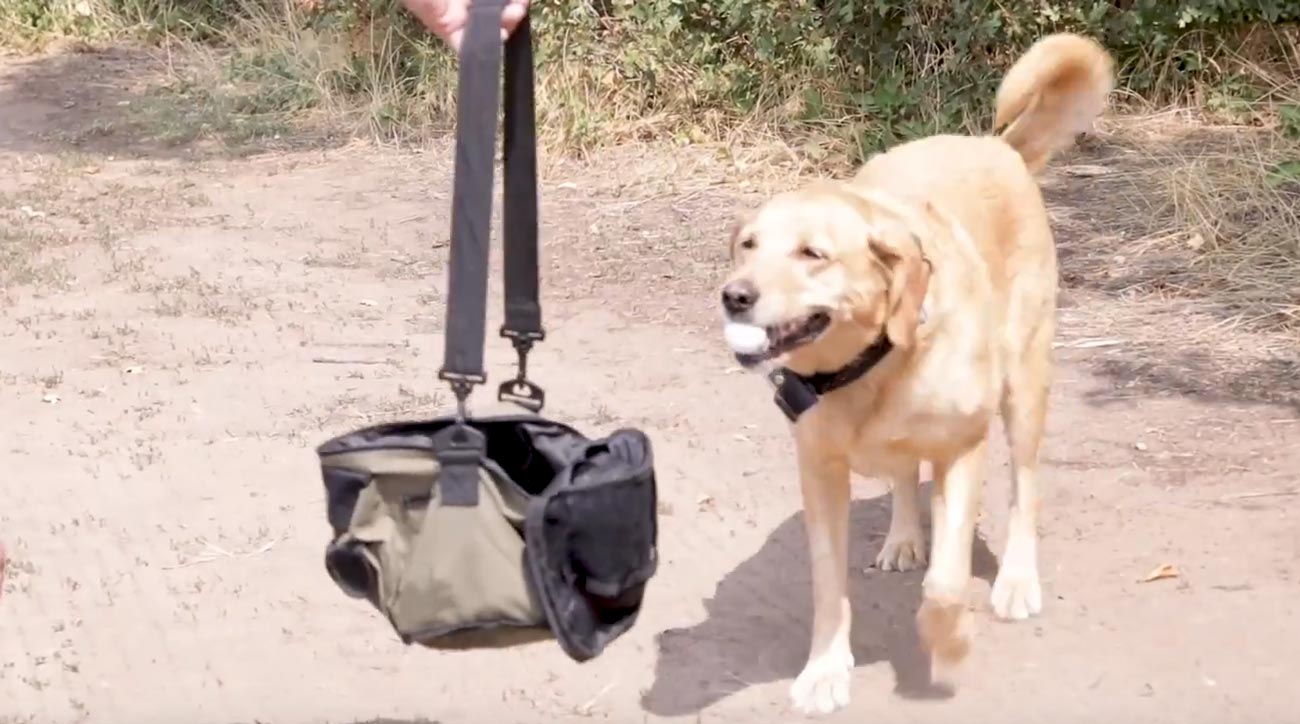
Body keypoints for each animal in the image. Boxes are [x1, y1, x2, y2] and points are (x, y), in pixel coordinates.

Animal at [717, 32, 1112, 712]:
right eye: (749, 245)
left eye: (813, 254)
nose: (734, 296)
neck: (869, 367)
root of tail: (996, 146)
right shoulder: (820, 474)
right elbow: (828, 587)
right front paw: (825, 670)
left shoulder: (963, 449)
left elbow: (947, 582)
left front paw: (948, 641)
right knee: (904, 474)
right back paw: (903, 536)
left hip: (1025, 389)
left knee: (1025, 488)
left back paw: (1016, 580)